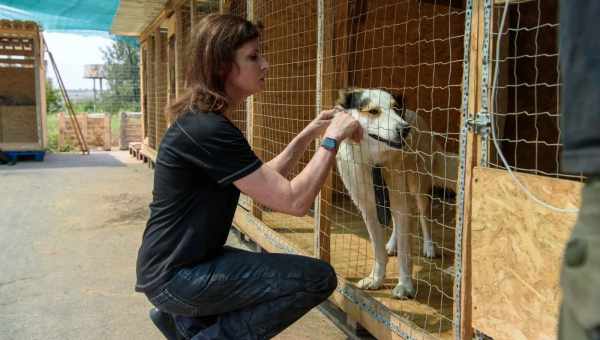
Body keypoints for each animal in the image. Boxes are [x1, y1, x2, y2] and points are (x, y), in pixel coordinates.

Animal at [338, 88, 446, 300]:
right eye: (373, 111)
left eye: (396, 109)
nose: (405, 129)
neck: (374, 163)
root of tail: (414, 114)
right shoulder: (368, 210)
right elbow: (377, 249)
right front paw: (376, 279)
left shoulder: (401, 202)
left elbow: (405, 253)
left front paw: (404, 286)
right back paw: (392, 245)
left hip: (418, 187)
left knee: (424, 217)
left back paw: (429, 247)